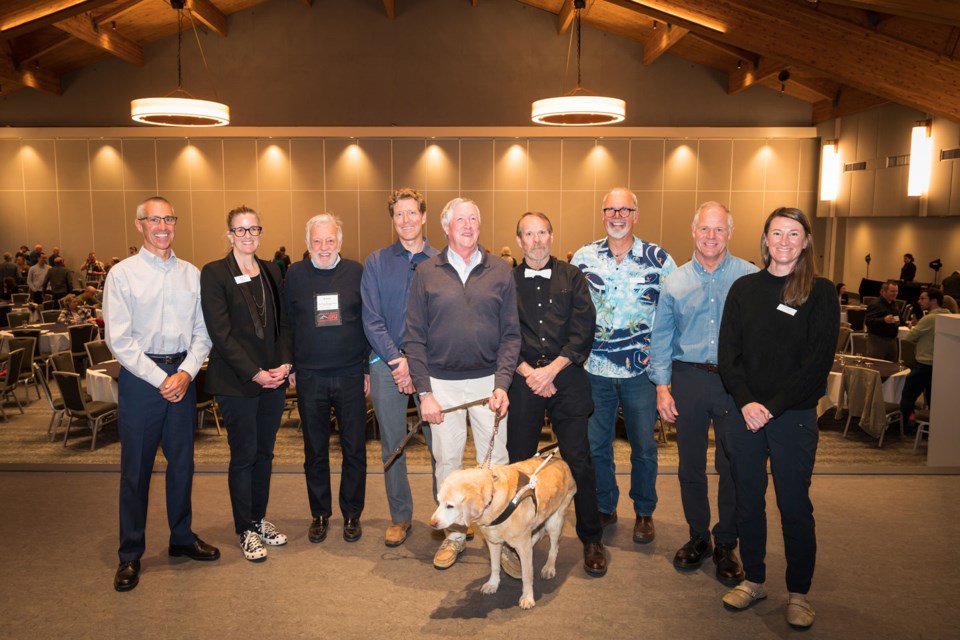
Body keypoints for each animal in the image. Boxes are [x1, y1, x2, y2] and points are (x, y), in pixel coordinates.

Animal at [432, 456, 572, 608]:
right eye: (439, 502)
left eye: (450, 506)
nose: (432, 523)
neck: (494, 498)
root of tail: (560, 461)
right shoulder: (493, 542)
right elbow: (495, 566)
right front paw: (493, 584)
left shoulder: (523, 546)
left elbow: (527, 575)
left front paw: (527, 597)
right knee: (538, 535)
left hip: (555, 521)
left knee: (554, 547)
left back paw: (549, 568)